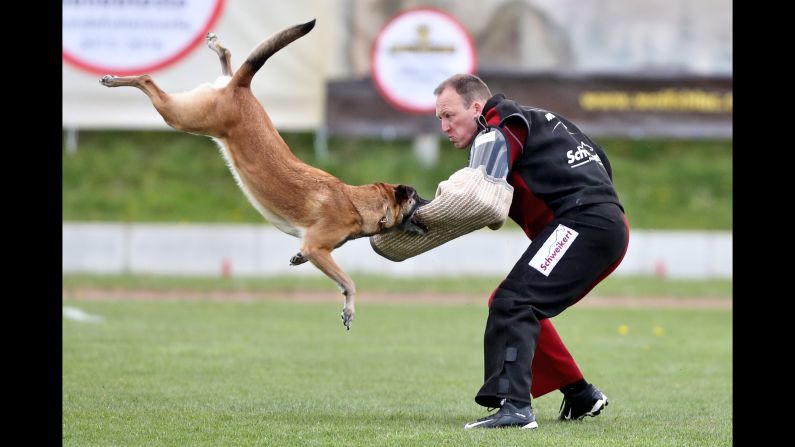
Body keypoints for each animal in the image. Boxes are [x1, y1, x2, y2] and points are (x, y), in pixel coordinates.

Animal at [99, 19, 430, 330]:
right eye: (418, 198)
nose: (433, 200)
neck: (356, 202)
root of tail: (241, 88)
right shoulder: (318, 247)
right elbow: (348, 282)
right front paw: (348, 310)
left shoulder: (315, 248)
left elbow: (314, 261)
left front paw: (298, 260)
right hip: (184, 116)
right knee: (148, 79)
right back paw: (113, 79)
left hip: (205, 105)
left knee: (228, 61)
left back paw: (217, 46)